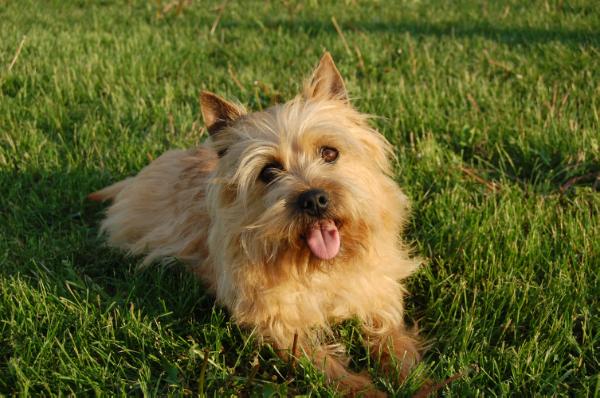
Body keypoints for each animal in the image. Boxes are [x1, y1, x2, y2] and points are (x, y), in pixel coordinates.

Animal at [92, 52, 422, 394]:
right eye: (268, 172)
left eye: (330, 152)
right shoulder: (279, 324)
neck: (318, 268)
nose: (314, 199)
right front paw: (365, 389)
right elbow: (323, 364)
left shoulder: (378, 294)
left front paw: (412, 381)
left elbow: (393, 339)